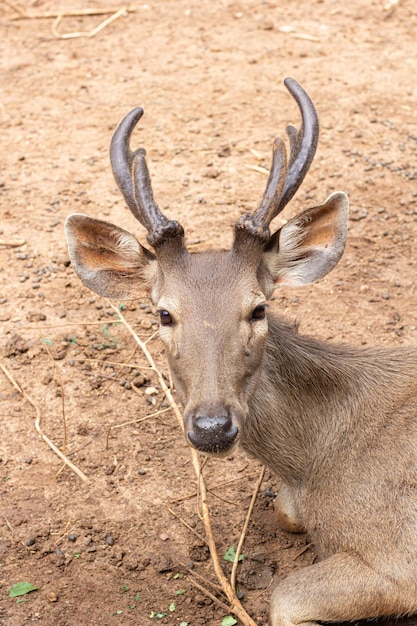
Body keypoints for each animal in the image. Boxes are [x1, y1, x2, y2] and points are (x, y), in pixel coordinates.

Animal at [64, 79, 416, 624]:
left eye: (258, 309)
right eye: (163, 314)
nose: (212, 427)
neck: (313, 462)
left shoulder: (398, 554)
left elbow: (285, 595)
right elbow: (283, 511)